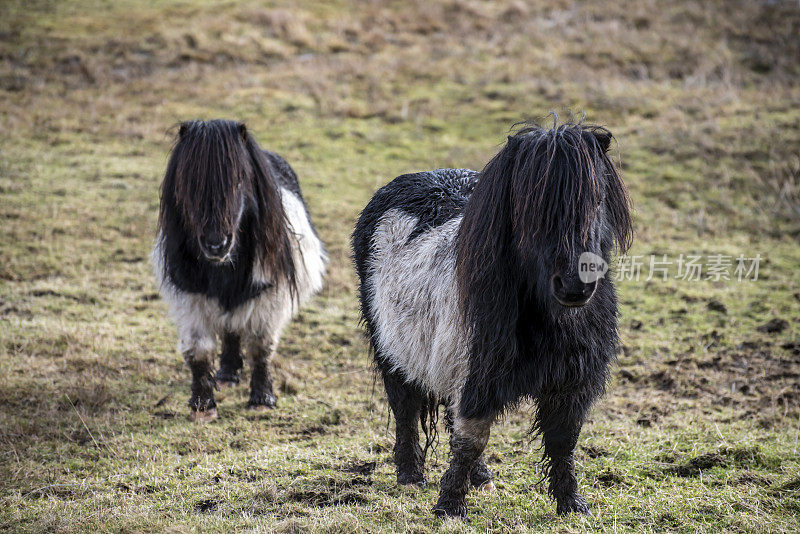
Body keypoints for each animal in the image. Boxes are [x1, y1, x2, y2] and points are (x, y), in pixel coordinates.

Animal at [152, 120, 326, 422]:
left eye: (239, 180)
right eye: (189, 183)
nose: (216, 244)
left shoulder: (269, 295)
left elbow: (260, 345)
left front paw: (262, 399)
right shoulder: (191, 297)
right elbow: (199, 349)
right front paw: (203, 406)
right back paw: (227, 375)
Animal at [354, 120, 636, 520]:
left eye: (597, 200)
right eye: (531, 206)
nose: (574, 284)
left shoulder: (571, 383)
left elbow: (563, 440)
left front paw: (571, 503)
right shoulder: (478, 375)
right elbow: (471, 438)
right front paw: (449, 506)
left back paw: (480, 477)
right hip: (392, 351)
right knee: (405, 408)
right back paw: (411, 476)